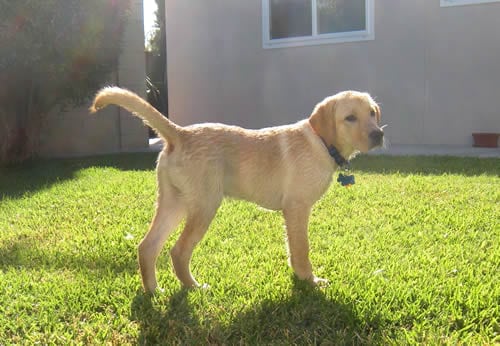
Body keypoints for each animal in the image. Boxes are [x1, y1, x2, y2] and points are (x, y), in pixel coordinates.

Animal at [90, 88, 384, 294]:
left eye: (372, 113)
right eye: (350, 118)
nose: (378, 135)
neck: (322, 143)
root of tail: (180, 134)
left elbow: (294, 249)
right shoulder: (297, 208)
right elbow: (301, 250)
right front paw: (309, 281)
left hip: (174, 203)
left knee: (147, 246)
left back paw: (153, 291)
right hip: (204, 206)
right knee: (178, 251)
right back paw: (193, 288)